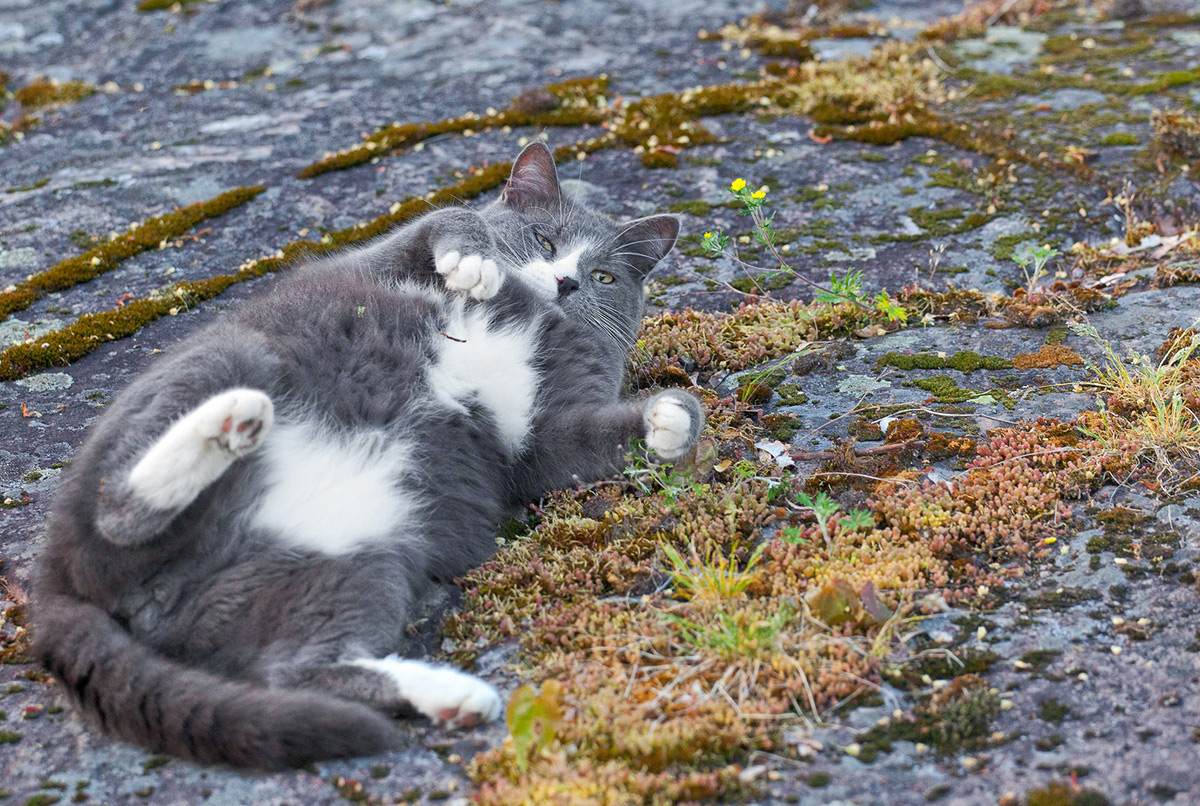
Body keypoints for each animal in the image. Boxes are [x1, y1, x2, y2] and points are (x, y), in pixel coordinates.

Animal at [35, 141, 700, 772]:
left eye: (605, 277)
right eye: (544, 239)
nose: (565, 283)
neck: (540, 318)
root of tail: (56, 582)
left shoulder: (542, 438)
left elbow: (571, 446)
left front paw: (672, 419)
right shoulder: (377, 262)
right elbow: (446, 218)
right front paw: (476, 265)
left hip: (361, 556)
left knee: (296, 666)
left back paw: (455, 696)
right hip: (224, 359)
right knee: (116, 510)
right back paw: (231, 423)